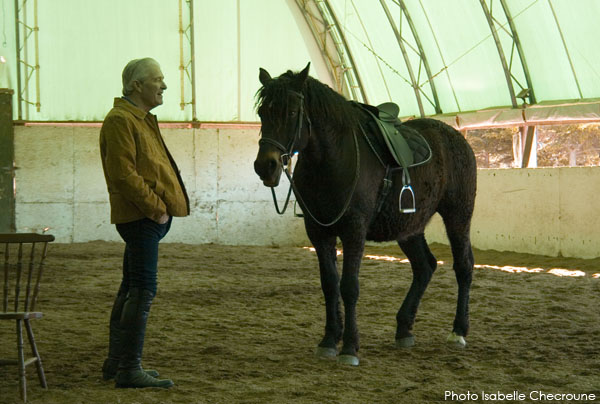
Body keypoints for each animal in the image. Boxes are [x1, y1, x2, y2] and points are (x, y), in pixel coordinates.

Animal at [254, 63, 478, 366]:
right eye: (262, 112)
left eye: (290, 112)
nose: (265, 165)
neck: (331, 161)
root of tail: (456, 138)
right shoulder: (318, 232)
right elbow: (329, 285)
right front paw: (328, 340)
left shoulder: (354, 230)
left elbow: (349, 286)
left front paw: (349, 347)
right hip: (409, 226)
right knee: (425, 267)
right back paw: (404, 329)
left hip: (458, 215)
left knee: (463, 266)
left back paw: (458, 331)